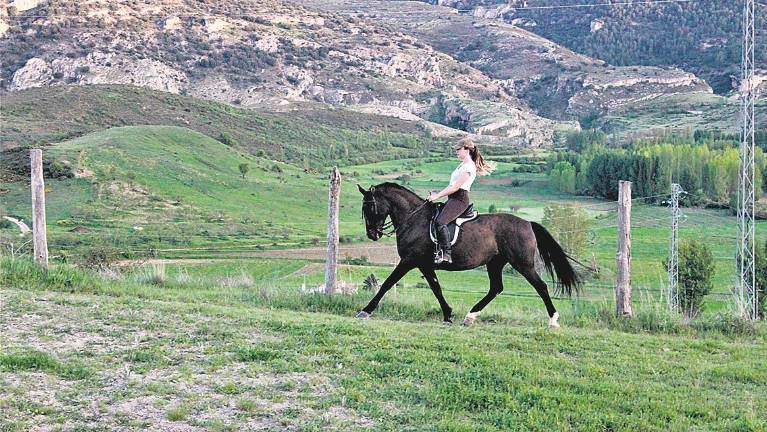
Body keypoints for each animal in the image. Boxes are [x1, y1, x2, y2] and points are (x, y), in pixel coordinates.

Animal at [355, 182, 582, 327]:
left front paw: (365, 310)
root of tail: (528, 223)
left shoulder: (409, 260)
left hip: (522, 264)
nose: (372, 234)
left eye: (370, 206)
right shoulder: (424, 264)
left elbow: (387, 284)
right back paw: (470, 317)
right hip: (495, 263)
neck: (414, 218)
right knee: (496, 288)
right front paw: (448, 315)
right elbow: (436, 288)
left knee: (541, 286)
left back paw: (553, 321)